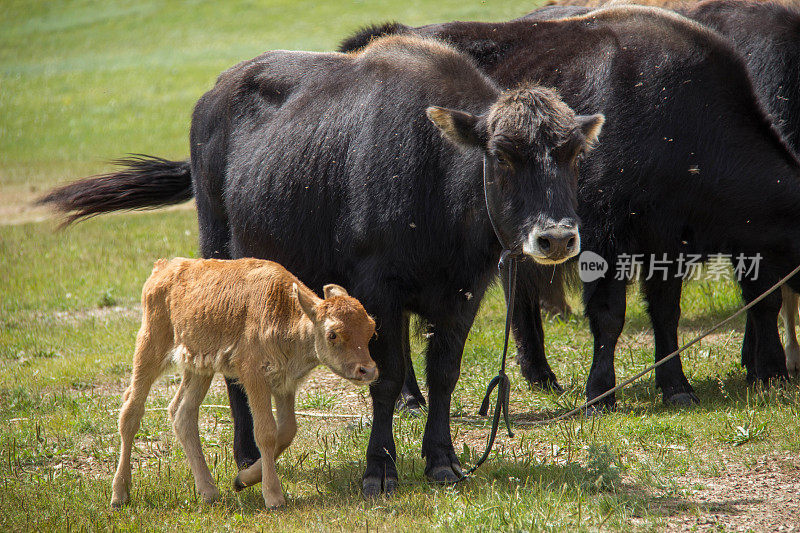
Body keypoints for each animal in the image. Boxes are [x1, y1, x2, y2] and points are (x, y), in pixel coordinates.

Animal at [108, 258, 378, 508]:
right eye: (333, 334)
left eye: (371, 329)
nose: (368, 370)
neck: (284, 311)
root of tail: (163, 267)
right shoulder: (254, 377)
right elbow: (266, 432)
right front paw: (273, 496)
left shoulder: (284, 383)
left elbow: (287, 431)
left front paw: (242, 480)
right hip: (150, 348)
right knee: (131, 410)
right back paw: (119, 494)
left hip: (199, 368)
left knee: (182, 412)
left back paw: (208, 491)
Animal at [340, 6, 800, 410]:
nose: (781, 377)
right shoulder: (604, 239)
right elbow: (609, 315)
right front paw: (601, 395)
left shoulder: (667, 244)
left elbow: (672, 311)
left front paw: (679, 387)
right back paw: (410, 399)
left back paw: (541, 376)